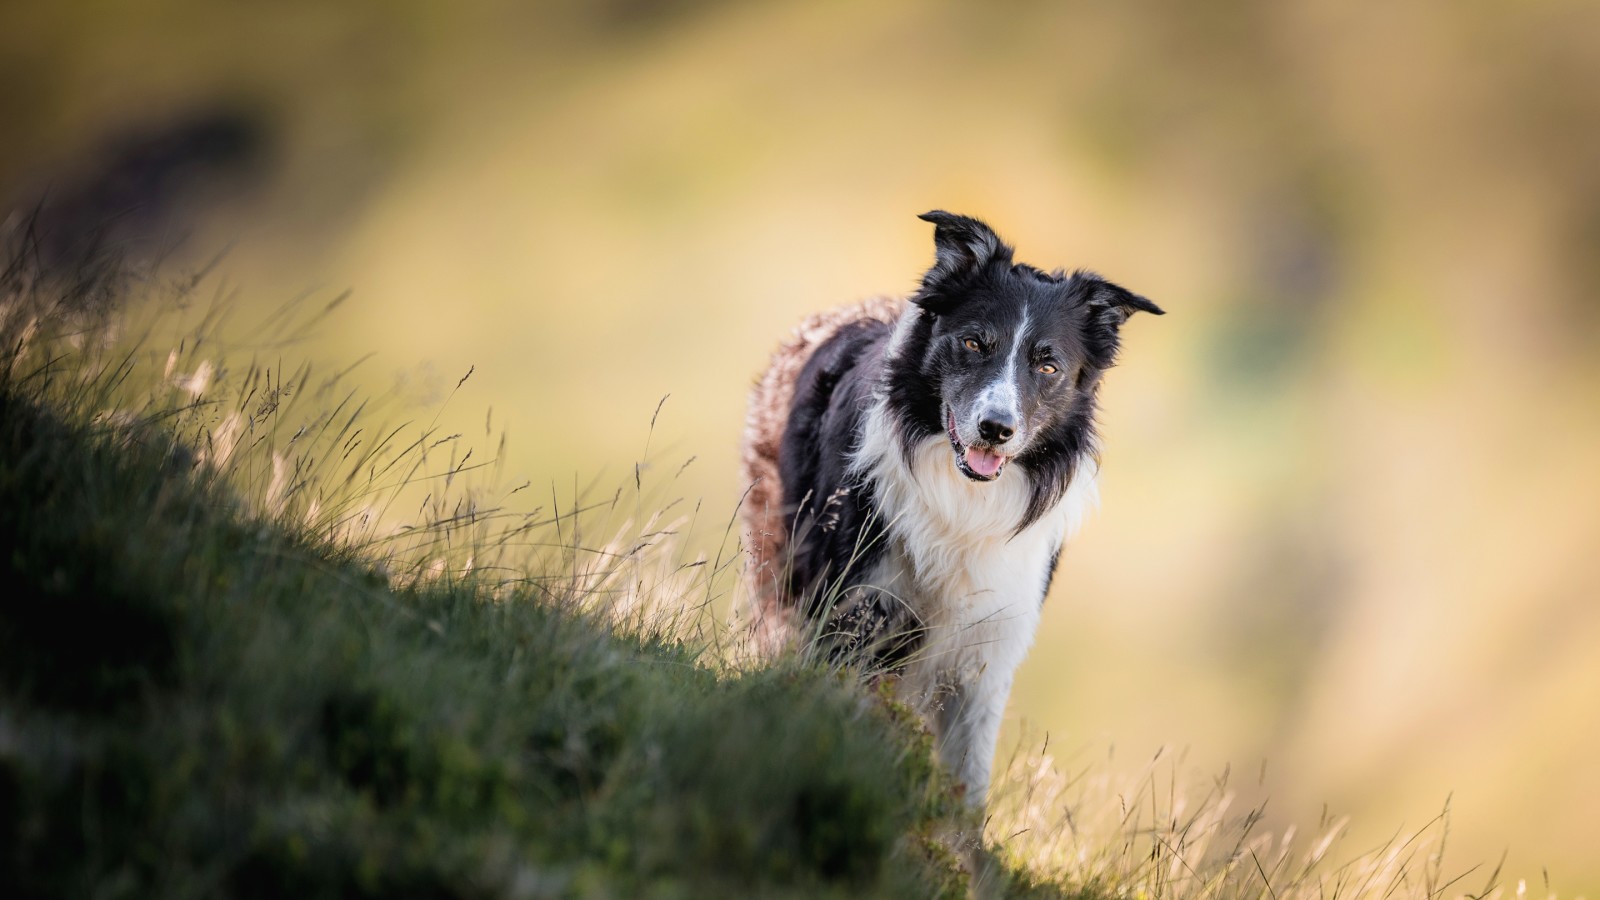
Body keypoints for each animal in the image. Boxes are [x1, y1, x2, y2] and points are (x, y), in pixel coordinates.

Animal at [736, 208, 1164, 797]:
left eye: (1048, 366)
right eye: (974, 344)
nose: (997, 429)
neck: (965, 503)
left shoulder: (990, 645)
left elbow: (969, 777)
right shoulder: (857, 606)